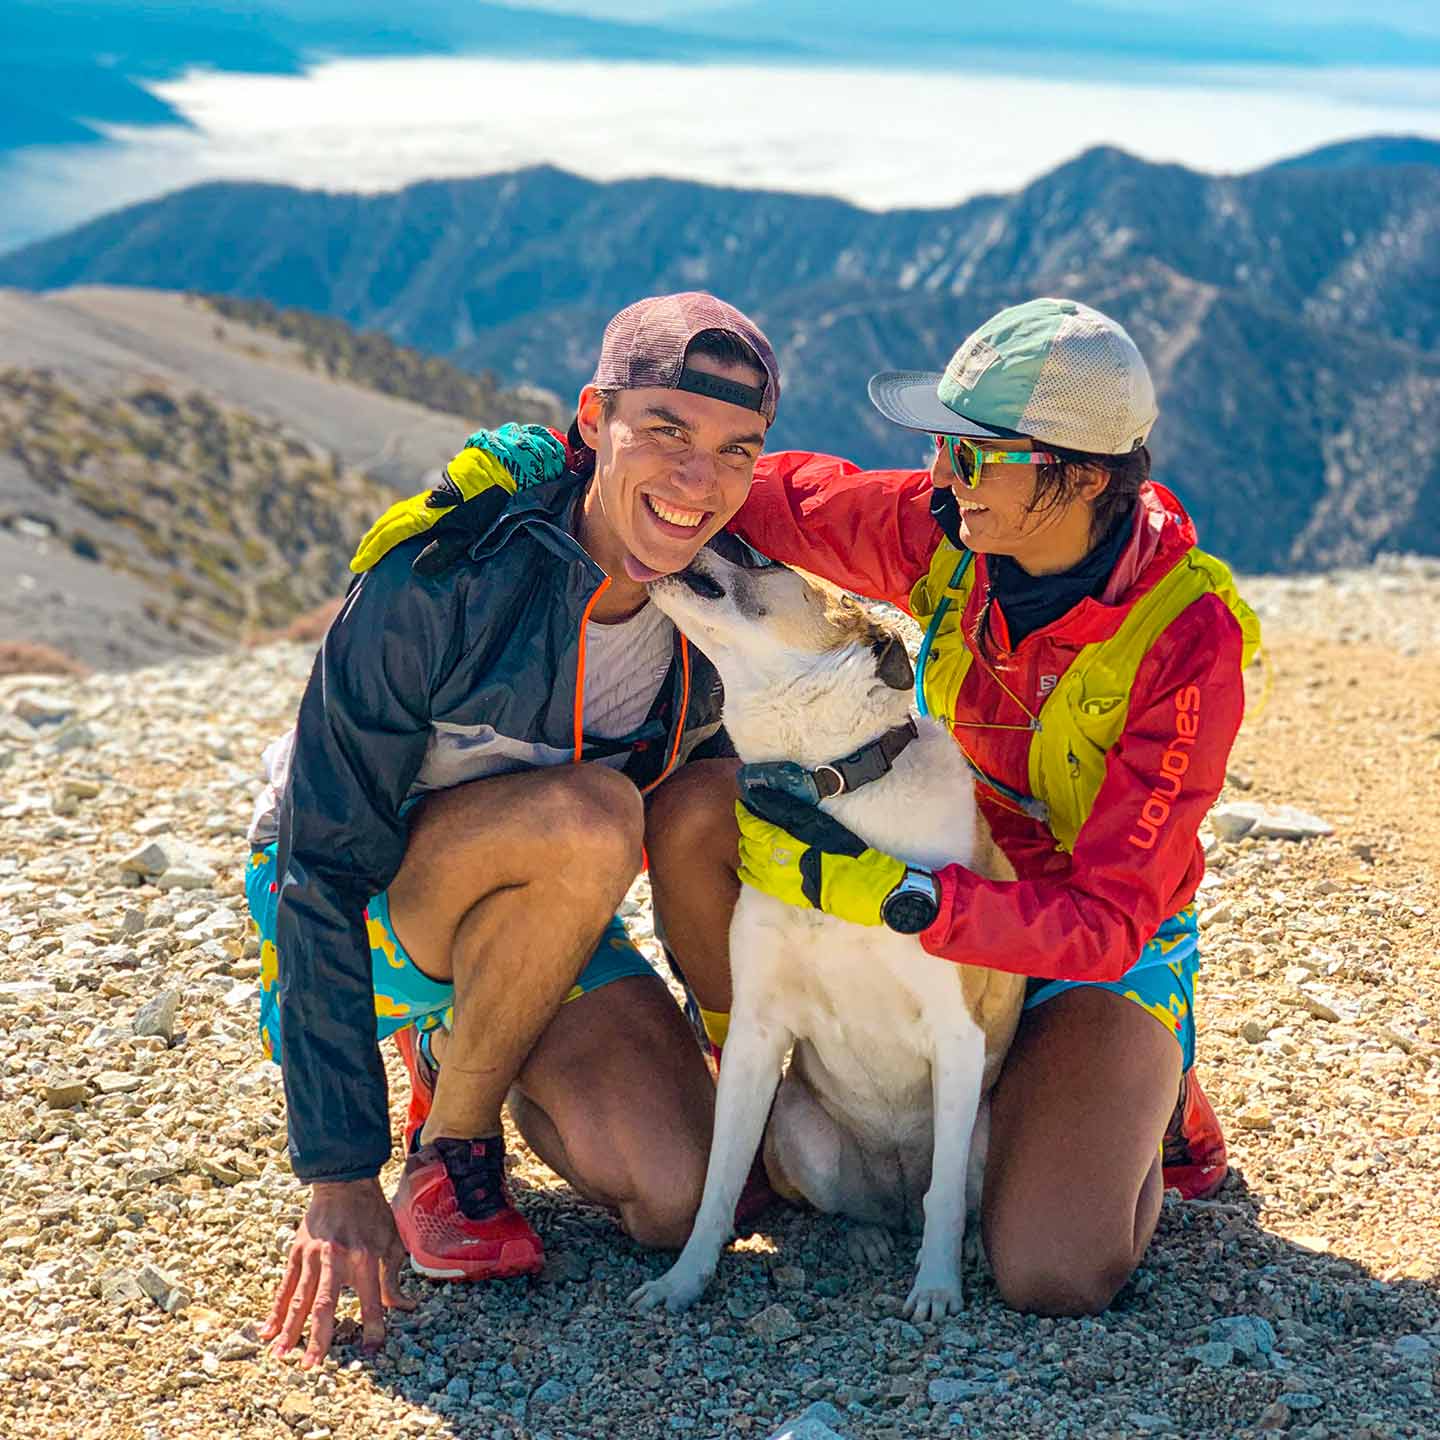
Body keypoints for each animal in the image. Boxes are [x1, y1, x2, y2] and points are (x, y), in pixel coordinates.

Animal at [633, 541, 1025, 1324]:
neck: (828, 796)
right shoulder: (755, 1035)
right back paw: (865, 1236)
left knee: (941, 1195)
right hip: (796, 1125)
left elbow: (943, 1200)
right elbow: (717, 1182)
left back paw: (958, 1247)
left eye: (764, 558)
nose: (728, 528)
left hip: (984, 1129)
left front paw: (936, 1287)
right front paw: (684, 1279)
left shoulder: (957, 1034)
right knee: (857, 1206)